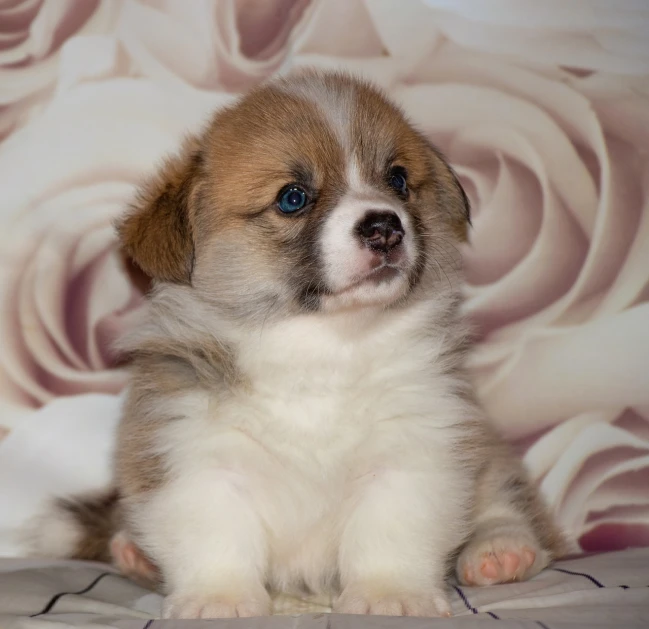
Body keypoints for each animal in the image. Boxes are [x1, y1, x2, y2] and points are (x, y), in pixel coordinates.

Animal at [26, 70, 560, 620]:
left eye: (397, 180)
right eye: (293, 197)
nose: (385, 226)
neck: (321, 345)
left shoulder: (415, 449)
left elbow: (390, 534)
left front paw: (389, 595)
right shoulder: (197, 459)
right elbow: (215, 539)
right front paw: (218, 600)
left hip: (483, 446)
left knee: (507, 500)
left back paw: (500, 551)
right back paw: (133, 552)